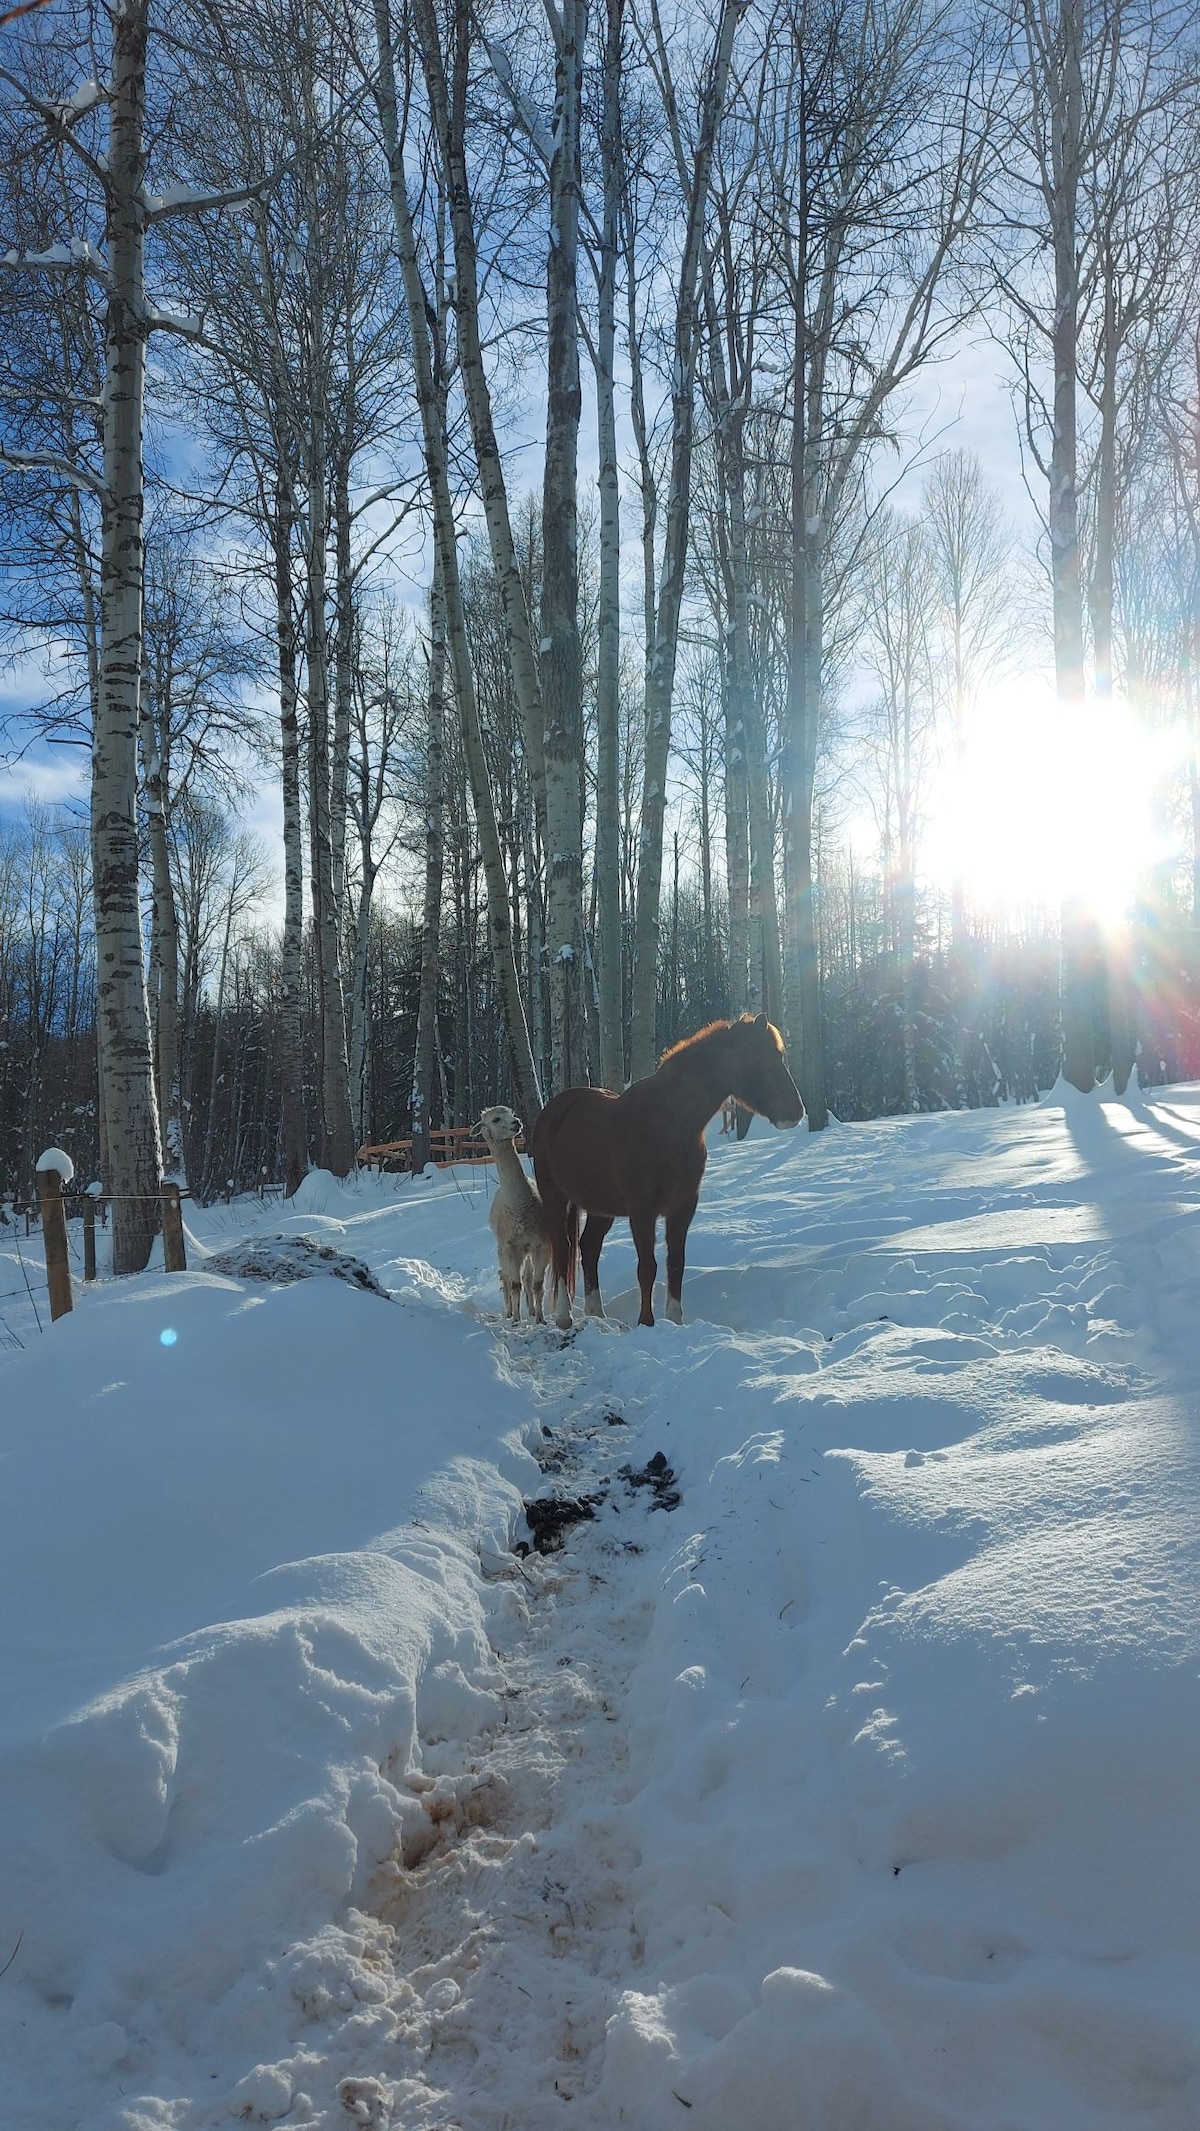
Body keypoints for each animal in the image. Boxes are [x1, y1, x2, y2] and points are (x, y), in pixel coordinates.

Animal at [530, 1014, 801, 1329]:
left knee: (589, 1246)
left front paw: (675, 1321)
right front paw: (646, 1323)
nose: (795, 1112)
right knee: (562, 1247)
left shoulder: (683, 1207)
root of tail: (555, 1109)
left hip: (600, 1205)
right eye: (759, 1058)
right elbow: (647, 1266)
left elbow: (675, 1263)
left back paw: (597, 1313)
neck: (667, 1124)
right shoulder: (642, 1210)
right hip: (555, 1196)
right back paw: (564, 1316)